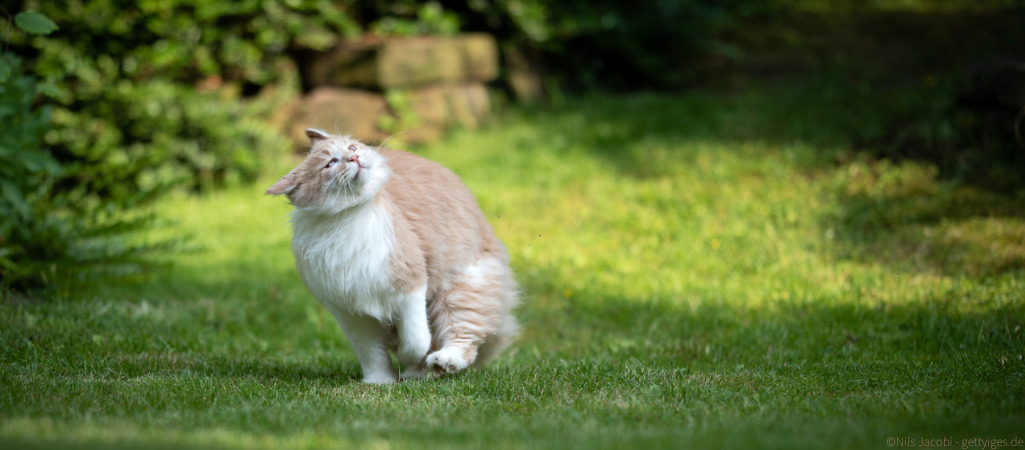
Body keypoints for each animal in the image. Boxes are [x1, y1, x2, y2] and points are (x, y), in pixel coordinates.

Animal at [266, 129, 520, 383]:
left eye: (351, 148)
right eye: (330, 163)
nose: (354, 158)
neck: (348, 216)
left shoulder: (410, 285)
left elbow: (416, 339)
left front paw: (409, 360)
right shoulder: (351, 313)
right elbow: (371, 354)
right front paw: (380, 381)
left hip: (460, 288)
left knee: (463, 336)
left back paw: (439, 363)